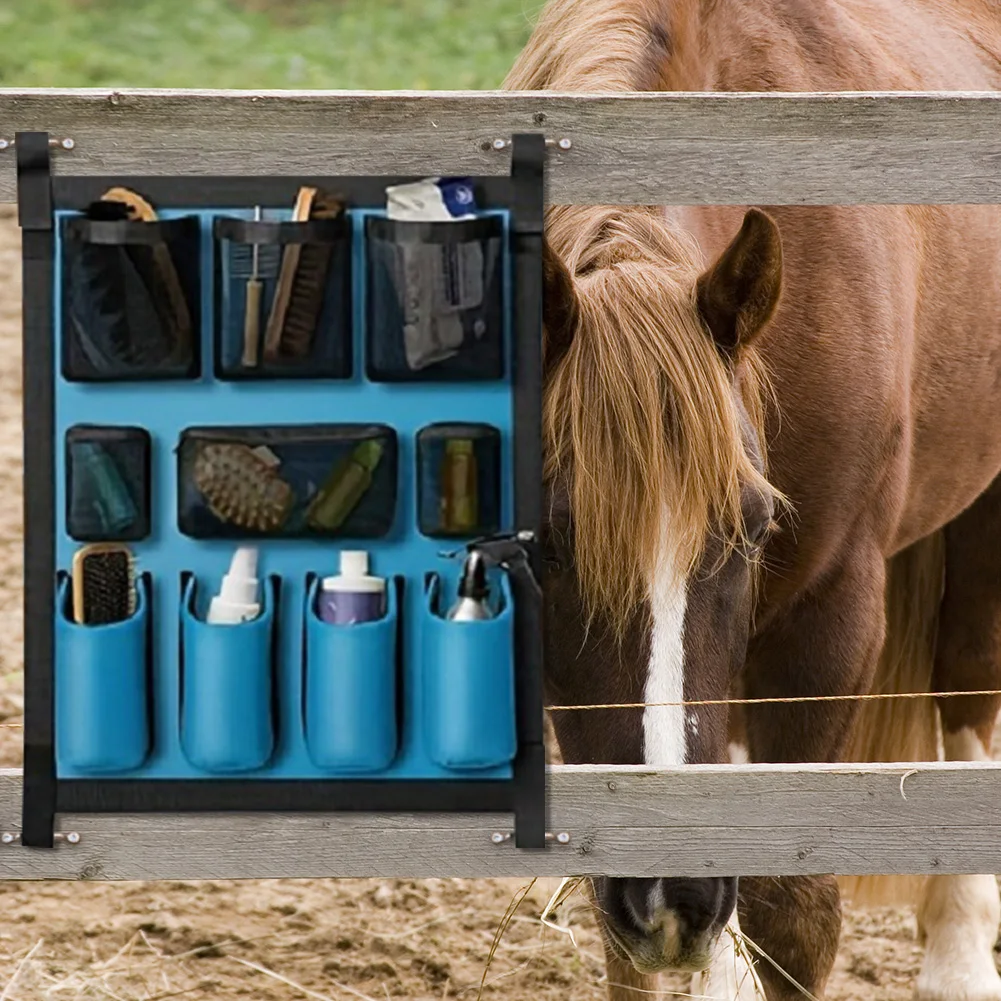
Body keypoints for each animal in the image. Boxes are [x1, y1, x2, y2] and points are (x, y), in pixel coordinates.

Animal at [502, 1, 1001, 998]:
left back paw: (960, 955)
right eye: (544, 545)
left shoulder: (826, 617)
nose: (672, 895)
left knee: (969, 682)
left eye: (755, 526)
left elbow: (791, 911)